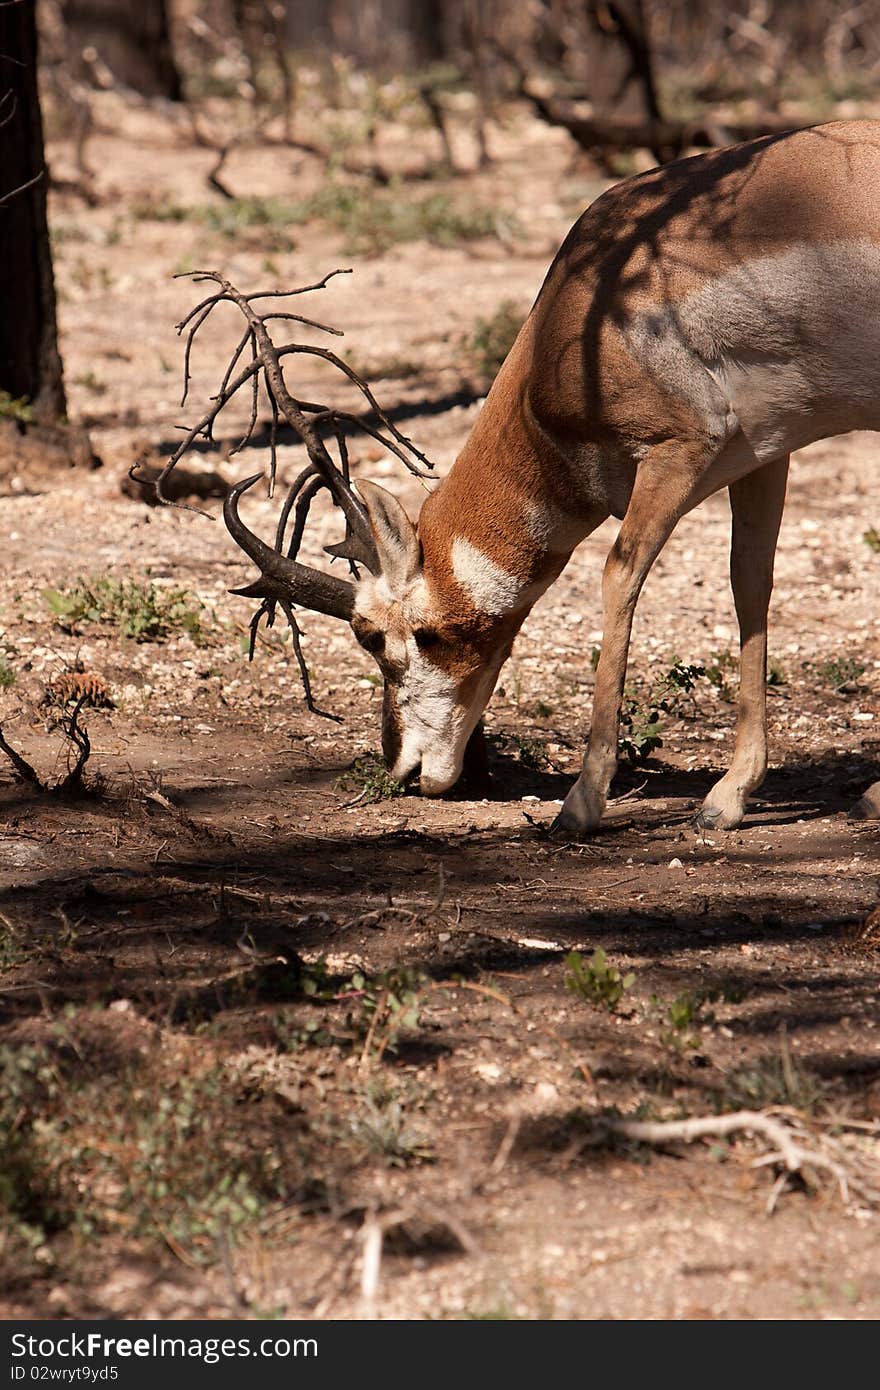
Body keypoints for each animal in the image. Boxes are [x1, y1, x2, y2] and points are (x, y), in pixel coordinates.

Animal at [222, 119, 878, 828]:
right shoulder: (764, 455)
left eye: (372, 635)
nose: (403, 770)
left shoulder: (678, 452)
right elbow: (749, 584)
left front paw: (581, 803)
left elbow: (619, 576)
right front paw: (729, 796)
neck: (579, 313)